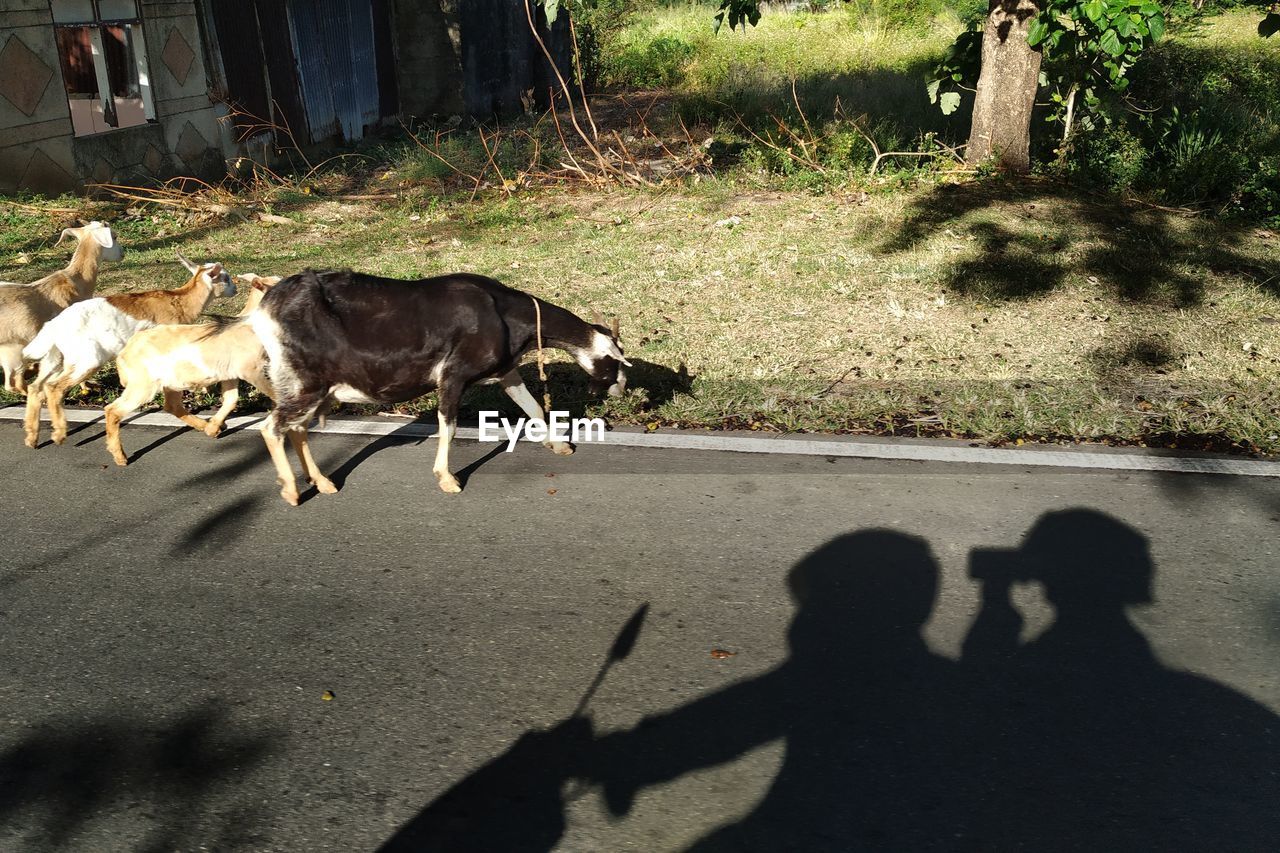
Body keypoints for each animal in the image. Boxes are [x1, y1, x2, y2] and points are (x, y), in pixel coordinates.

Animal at [0, 219, 120, 391]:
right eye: (114, 236)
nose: (122, 254)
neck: (76, 281)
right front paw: (86, 386)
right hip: (14, 349)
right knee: (13, 383)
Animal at [23, 252, 235, 448]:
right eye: (226, 277)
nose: (235, 288)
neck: (179, 301)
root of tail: (54, 325)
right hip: (88, 359)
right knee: (54, 387)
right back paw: (59, 435)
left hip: (57, 358)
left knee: (37, 387)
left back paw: (32, 439)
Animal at [249, 268, 629, 502]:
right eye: (615, 362)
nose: (621, 391)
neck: (504, 313)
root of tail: (266, 308)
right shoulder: (454, 374)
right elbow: (448, 424)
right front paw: (447, 478)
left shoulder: (506, 371)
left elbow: (532, 407)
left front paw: (559, 445)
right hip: (306, 382)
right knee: (273, 427)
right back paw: (292, 491)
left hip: (308, 384)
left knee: (296, 429)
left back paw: (324, 482)